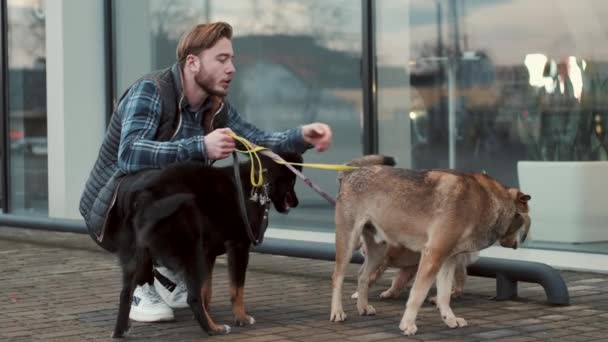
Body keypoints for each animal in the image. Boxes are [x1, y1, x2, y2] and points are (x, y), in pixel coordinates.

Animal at [111, 153, 302, 340]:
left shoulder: (209, 254)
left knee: (125, 294)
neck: (258, 182)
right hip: (192, 254)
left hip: (138, 258)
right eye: (292, 181)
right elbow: (237, 289)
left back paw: (120, 331)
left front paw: (210, 312)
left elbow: (207, 291)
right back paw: (213, 329)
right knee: (193, 298)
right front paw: (241, 317)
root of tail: (146, 197)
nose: (296, 203)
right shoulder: (239, 246)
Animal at [330, 156, 528, 336]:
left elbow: (444, 296)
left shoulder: (447, 260)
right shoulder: (433, 255)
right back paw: (337, 312)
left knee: (363, 276)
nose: (524, 240)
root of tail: (351, 173)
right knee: (337, 278)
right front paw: (407, 325)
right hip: (348, 245)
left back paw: (363, 307)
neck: (484, 201)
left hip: (378, 252)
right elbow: (417, 294)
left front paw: (450, 319)